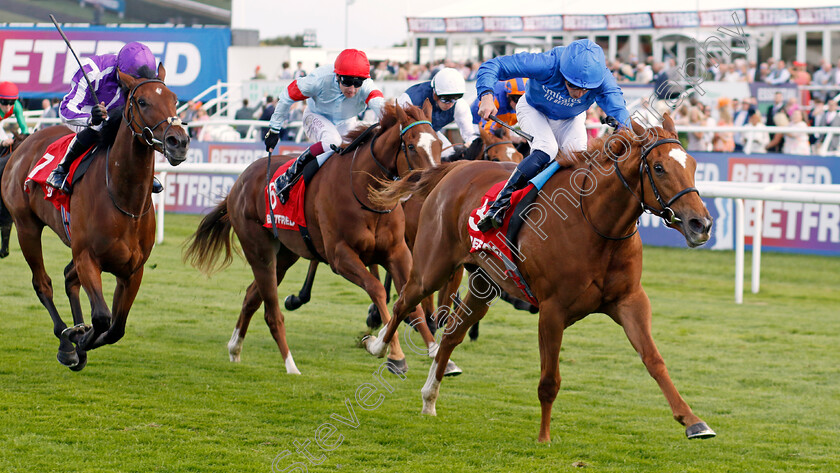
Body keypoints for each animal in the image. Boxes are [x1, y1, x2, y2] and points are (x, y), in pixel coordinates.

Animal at [1, 64, 189, 370]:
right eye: (142, 101)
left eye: (174, 99)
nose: (179, 142)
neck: (125, 201)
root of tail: (24, 142)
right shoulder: (87, 257)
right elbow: (102, 317)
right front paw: (76, 340)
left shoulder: (133, 270)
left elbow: (116, 328)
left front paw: (82, 337)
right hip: (26, 226)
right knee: (43, 284)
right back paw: (66, 340)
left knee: (69, 279)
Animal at [185, 102, 440, 372]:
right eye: (411, 146)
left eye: (438, 143)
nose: (434, 183)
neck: (366, 193)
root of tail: (239, 182)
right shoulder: (341, 256)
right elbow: (377, 289)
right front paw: (389, 351)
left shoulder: (397, 252)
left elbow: (411, 301)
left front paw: (436, 352)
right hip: (259, 250)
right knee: (272, 313)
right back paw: (291, 366)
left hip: (285, 255)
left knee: (251, 296)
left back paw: (235, 348)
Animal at [366, 115, 716, 442]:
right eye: (658, 168)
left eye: (693, 165)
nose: (701, 224)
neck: (596, 223)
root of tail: (457, 167)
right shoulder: (552, 310)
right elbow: (550, 380)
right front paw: (544, 436)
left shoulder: (630, 300)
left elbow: (654, 360)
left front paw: (694, 421)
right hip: (433, 267)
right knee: (404, 301)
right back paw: (380, 346)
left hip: (484, 284)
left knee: (452, 334)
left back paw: (429, 397)